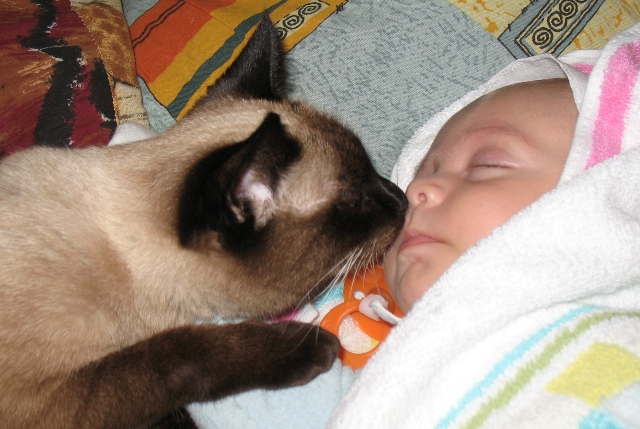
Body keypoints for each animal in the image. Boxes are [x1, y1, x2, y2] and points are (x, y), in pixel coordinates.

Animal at [0, 17, 407, 429]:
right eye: (355, 201)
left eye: (370, 169)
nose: (401, 199)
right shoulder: (50, 403)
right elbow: (175, 353)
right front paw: (310, 347)